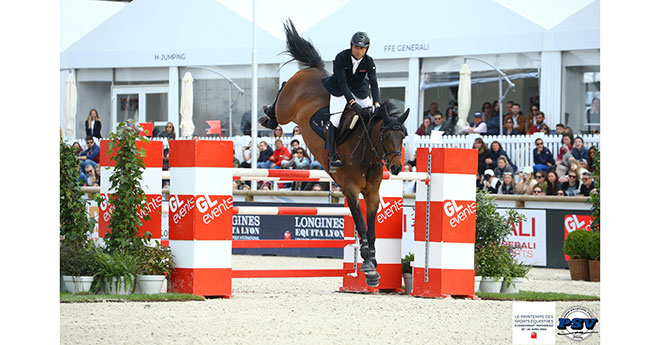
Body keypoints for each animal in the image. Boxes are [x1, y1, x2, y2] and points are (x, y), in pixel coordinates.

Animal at [262, 20, 408, 286]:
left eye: (403, 136)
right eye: (385, 136)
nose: (395, 168)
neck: (367, 153)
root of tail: (314, 70)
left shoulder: (372, 194)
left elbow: (371, 228)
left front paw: (373, 262)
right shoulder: (350, 188)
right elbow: (360, 224)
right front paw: (368, 266)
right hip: (287, 108)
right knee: (281, 96)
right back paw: (267, 115)